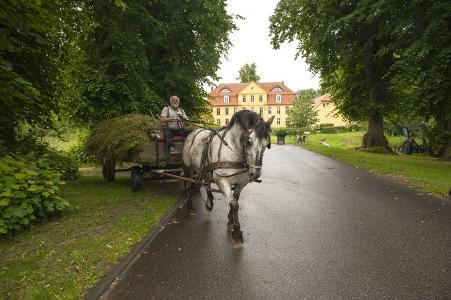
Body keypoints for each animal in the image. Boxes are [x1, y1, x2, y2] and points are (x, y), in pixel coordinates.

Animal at [182, 110, 274, 244]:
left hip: (205, 169)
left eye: (267, 144)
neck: (232, 150)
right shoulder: (222, 181)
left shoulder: (241, 183)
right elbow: (234, 204)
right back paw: (190, 207)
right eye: (249, 141)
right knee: (188, 184)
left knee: (206, 182)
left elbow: (235, 200)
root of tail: (194, 131)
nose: (255, 174)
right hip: (188, 168)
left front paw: (230, 223)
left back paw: (209, 203)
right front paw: (237, 232)